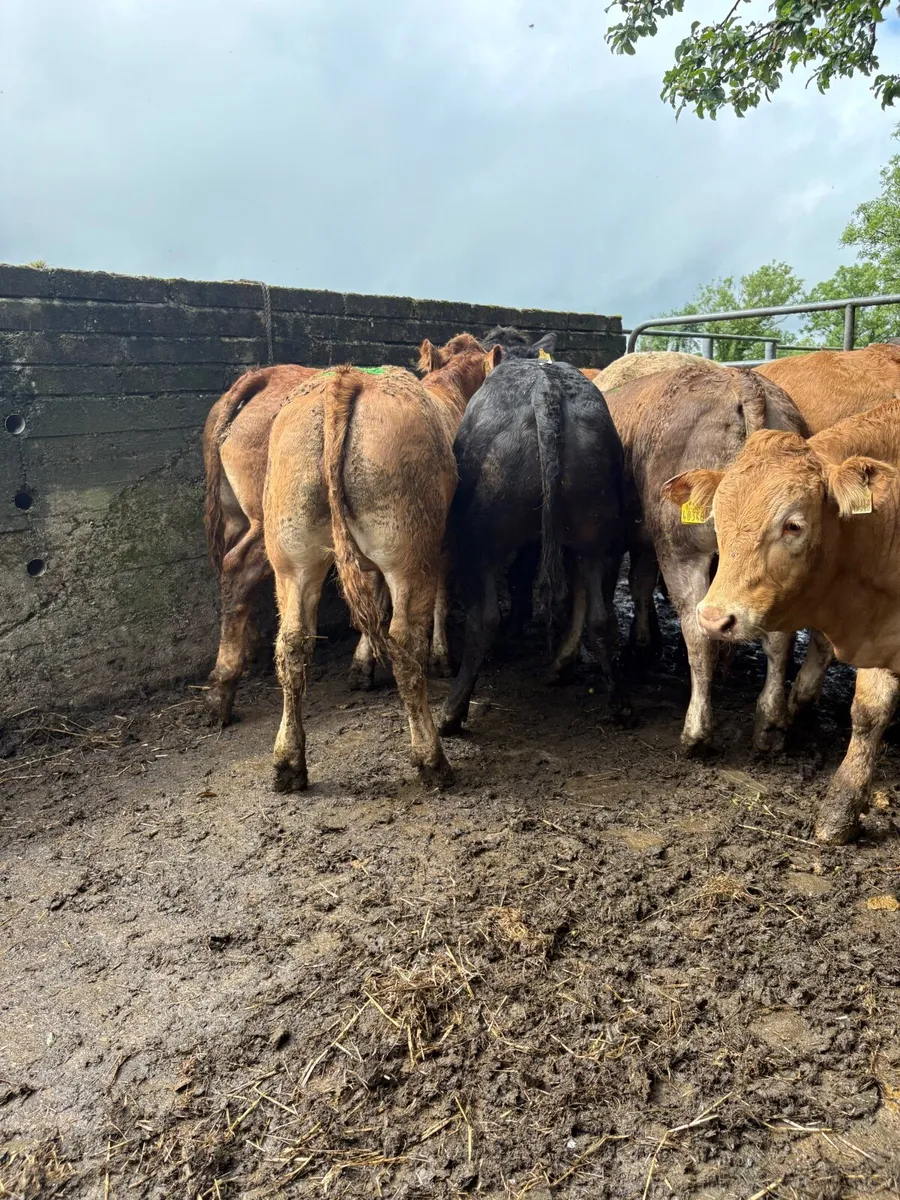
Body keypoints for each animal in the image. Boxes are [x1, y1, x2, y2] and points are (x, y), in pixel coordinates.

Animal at [263, 334, 502, 792]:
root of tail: (346, 379)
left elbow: (371, 601)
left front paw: (361, 665)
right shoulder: (442, 543)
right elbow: (438, 599)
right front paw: (442, 656)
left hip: (291, 553)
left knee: (293, 643)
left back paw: (288, 763)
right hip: (408, 547)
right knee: (405, 643)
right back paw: (432, 759)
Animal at [439, 358, 630, 737]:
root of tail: (546, 388)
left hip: (482, 541)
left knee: (484, 618)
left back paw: (452, 712)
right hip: (593, 537)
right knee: (601, 617)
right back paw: (616, 704)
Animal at [602, 363, 830, 754]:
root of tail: (743, 382)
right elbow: (641, 584)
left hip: (682, 552)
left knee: (698, 635)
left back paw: (696, 733)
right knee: (779, 639)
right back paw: (770, 726)